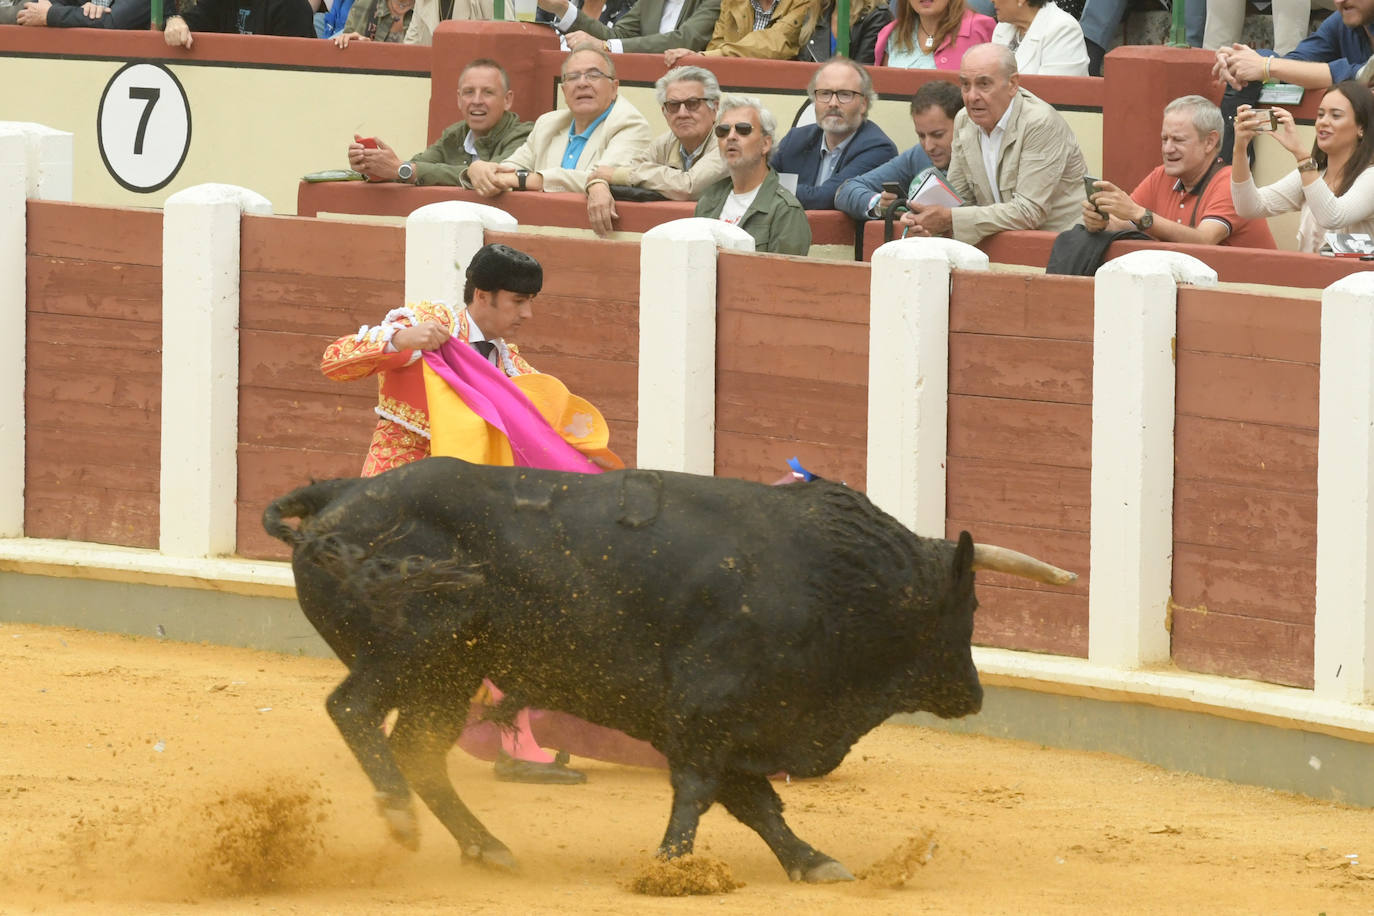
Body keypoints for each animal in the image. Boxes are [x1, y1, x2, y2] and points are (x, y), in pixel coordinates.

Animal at [259, 458, 1071, 878]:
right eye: (967, 607)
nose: (974, 694)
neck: (839, 577)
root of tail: (338, 496)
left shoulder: (738, 724)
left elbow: (757, 806)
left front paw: (812, 861)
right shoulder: (708, 714)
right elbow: (703, 792)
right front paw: (672, 868)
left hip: (449, 673)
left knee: (418, 748)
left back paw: (487, 847)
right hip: (412, 649)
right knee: (355, 712)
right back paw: (399, 817)